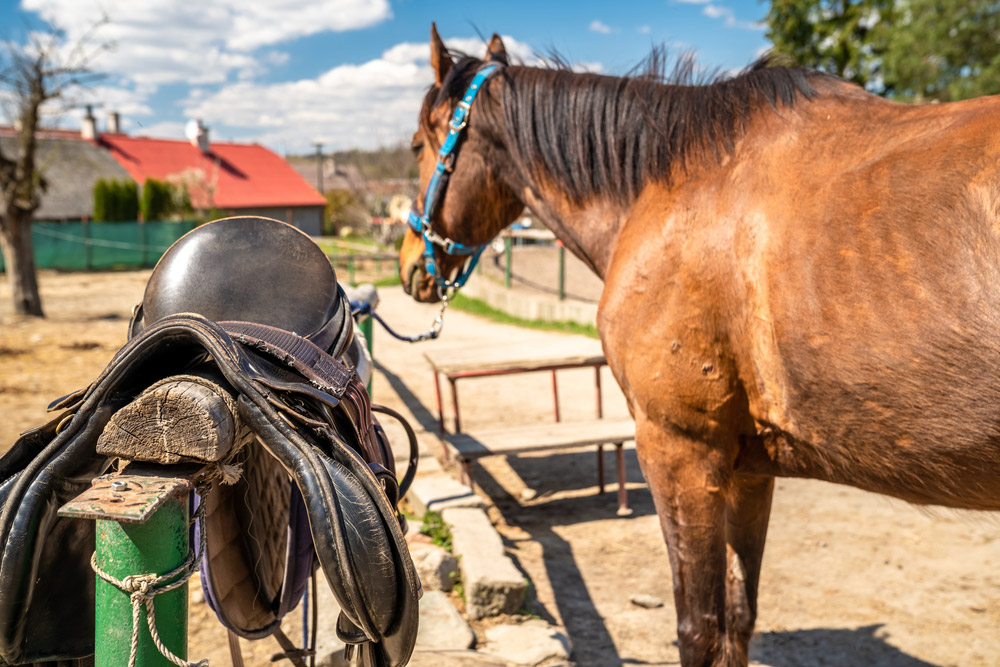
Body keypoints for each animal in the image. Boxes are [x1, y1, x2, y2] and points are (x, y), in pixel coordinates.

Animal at [396, 24, 1000, 667]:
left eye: (417, 145)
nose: (410, 266)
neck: (674, 187)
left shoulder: (680, 449)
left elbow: (698, 627)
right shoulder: (749, 467)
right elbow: (738, 616)